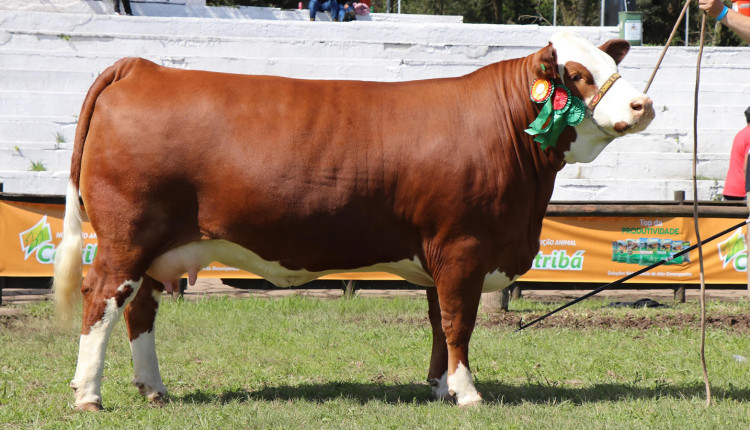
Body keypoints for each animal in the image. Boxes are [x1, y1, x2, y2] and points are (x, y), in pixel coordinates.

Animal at [53, 31, 656, 410]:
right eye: (576, 74)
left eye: (616, 68)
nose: (643, 105)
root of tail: (141, 68)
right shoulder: (463, 246)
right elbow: (459, 322)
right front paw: (467, 392)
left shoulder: (437, 251)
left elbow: (437, 322)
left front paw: (438, 386)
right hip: (127, 235)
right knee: (102, 299)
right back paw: (88, 395)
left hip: (159, 247)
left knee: (141, 309)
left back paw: (153, 389)